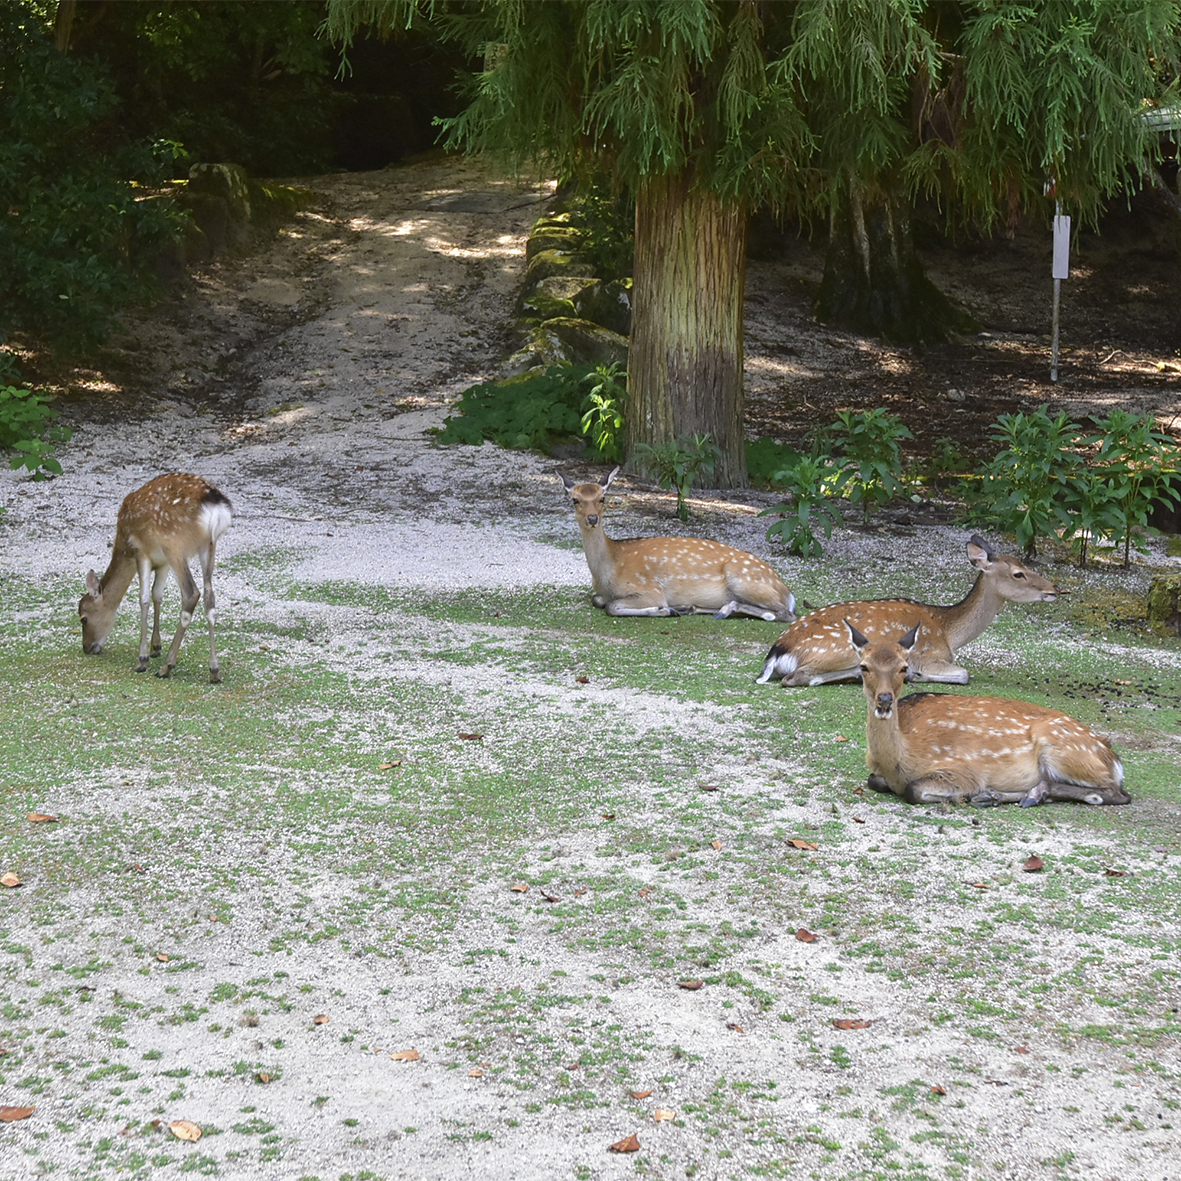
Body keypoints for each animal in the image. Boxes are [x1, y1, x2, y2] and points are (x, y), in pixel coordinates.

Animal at [79, 472, 233, 684]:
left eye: (83, 618)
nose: (86, 647)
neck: (124, 546)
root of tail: (216, 508)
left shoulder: (140, 550)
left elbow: (143, 599)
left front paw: (142, 658)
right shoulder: (162, 563)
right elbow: (157, 594)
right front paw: (156, 647)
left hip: (174, 544)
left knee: (191, 593)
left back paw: (166, 667)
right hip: (208, 546)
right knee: (210, 596)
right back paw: (214, 670)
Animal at [559, 465, 798, 623]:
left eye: (602, 498)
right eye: (575, 500)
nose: (592, 518)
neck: (609, 570)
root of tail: (789, 593)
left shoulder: (649, 589)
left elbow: (611, 606)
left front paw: (665, 610)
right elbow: (598, 600)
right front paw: (675, 609)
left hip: (744, 579)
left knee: (785, 614)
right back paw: (693, 607)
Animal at [755, 533, 1062, 689]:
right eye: (1018, 574)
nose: (1054, 588)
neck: (949, 633)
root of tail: (777, 651)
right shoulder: (929, 655)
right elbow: (964, 674)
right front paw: (917, 674)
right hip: (838, 649)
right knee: (798, 677)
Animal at [850, 623, 1124, 807]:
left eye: (904, 668)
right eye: (864, 667)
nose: (885, 699)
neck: (900, 761)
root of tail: (1113, 758)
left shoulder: (963, 771)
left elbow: (913, 790)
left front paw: (967, 794)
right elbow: (873, 780)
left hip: (1062, 749)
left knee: (1115, 793)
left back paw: (1023, 795)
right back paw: (1001, 796)